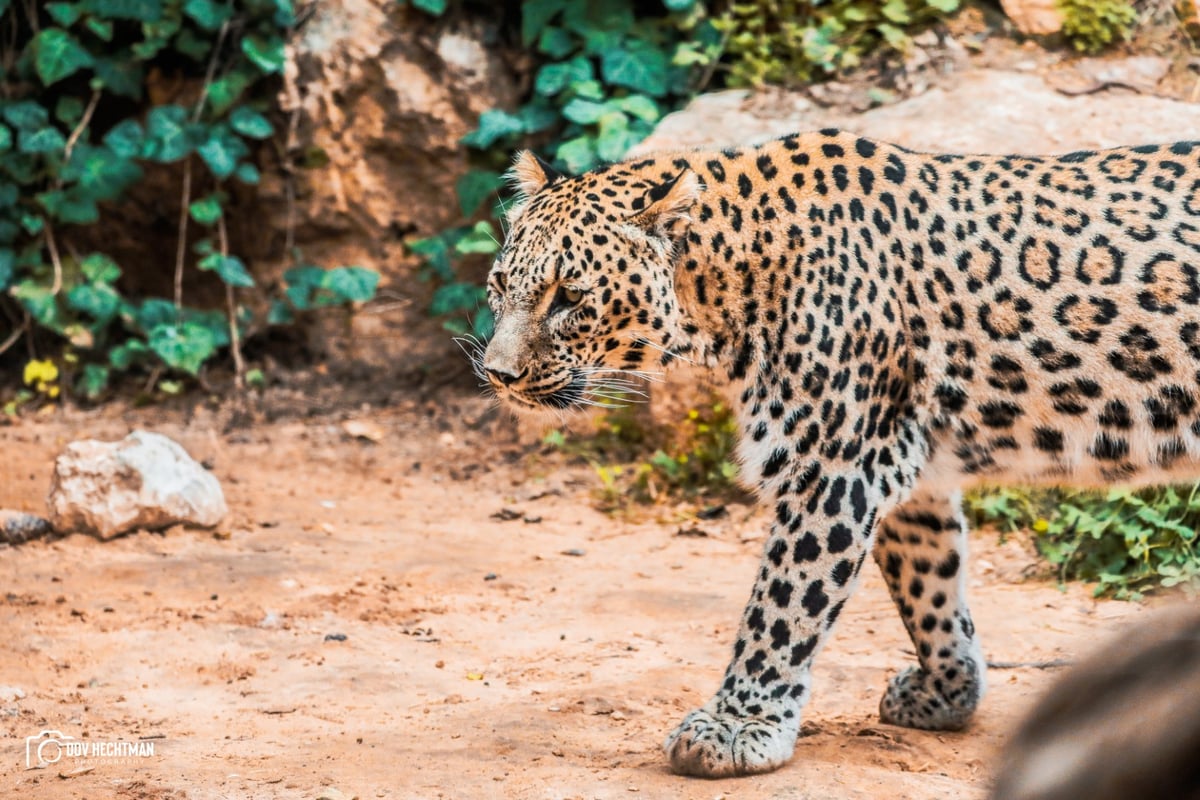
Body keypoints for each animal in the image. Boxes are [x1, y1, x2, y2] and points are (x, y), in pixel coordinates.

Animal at [472, 130, 1200, 777]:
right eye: (500, 285)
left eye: (569, 297)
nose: (499, 374)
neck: (725, 292)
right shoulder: (910, 467)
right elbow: (930, 584)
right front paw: (949, 691)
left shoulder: (832, 468)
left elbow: (782, 605)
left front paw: (735, 727)